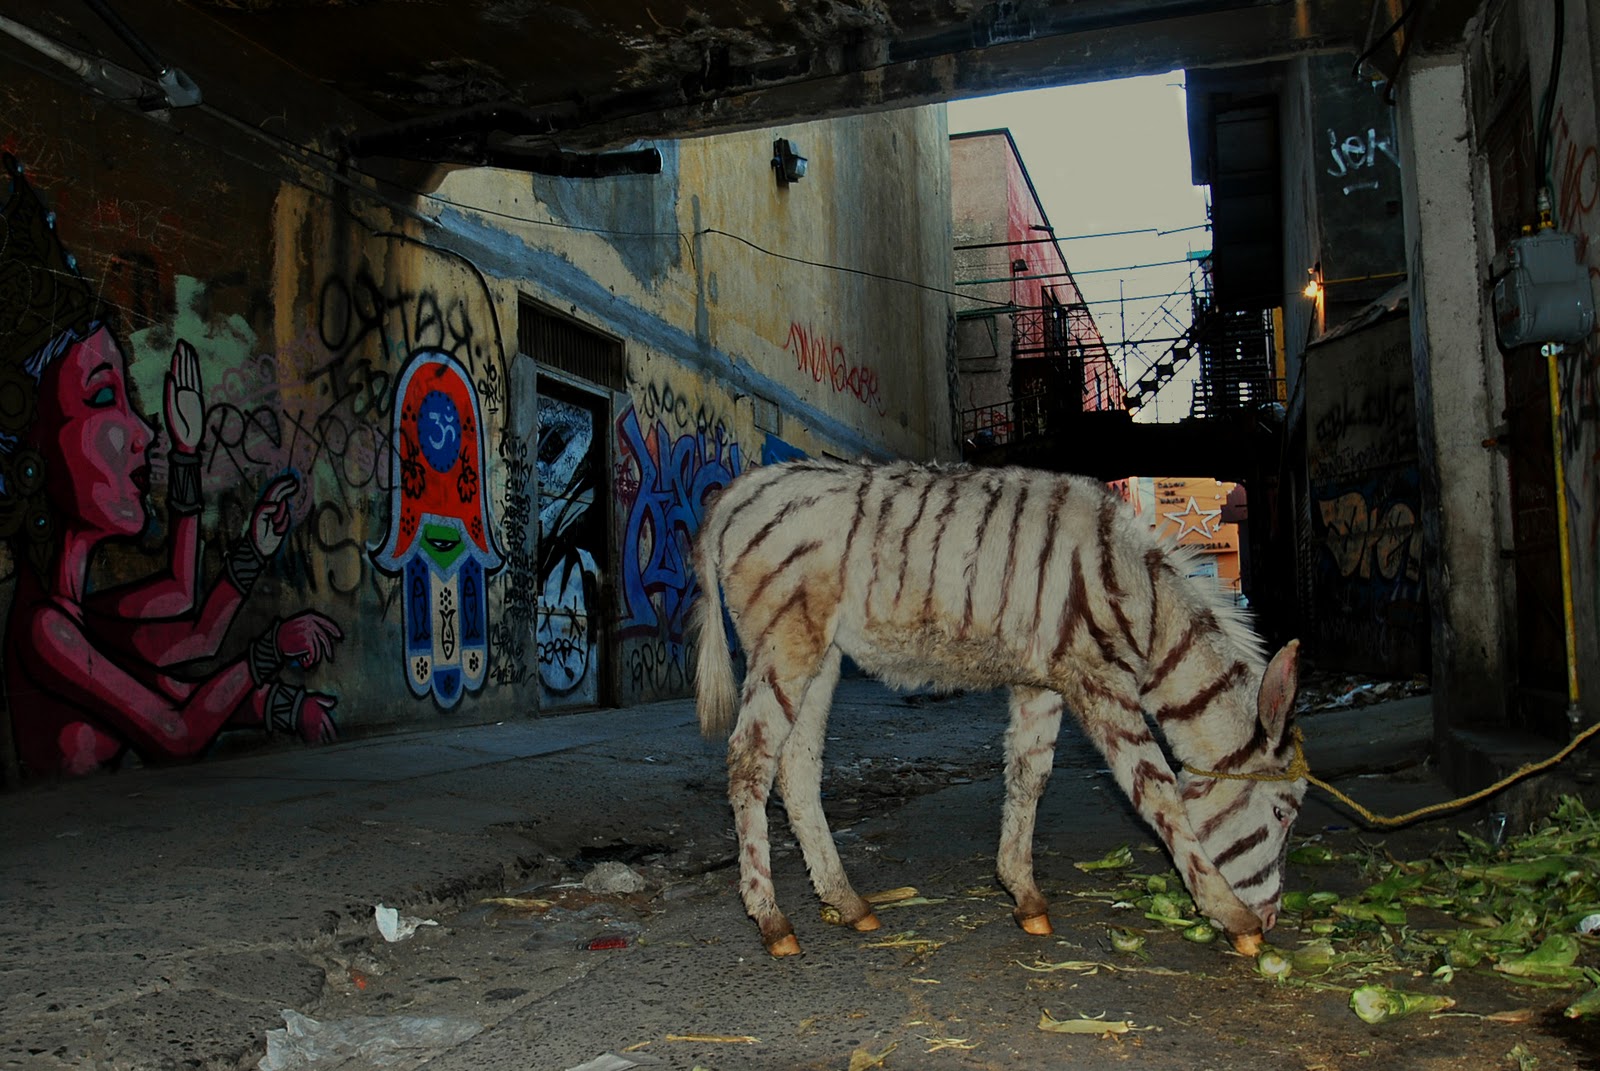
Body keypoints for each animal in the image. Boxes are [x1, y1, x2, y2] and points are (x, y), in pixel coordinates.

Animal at [692, 458, 1303, 958]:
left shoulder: (1044, 683)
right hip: (784, 640)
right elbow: (1156, 791)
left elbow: (1029, 778)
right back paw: (772, 922)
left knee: (796, 769)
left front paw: (1024, 895)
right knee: (750, 763)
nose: (1274, 921)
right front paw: (1232, 917)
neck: (1144, 604)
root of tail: (742, 487)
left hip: (821, 656)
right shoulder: (1098, 681)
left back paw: (847, 903)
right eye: (1282, 814)